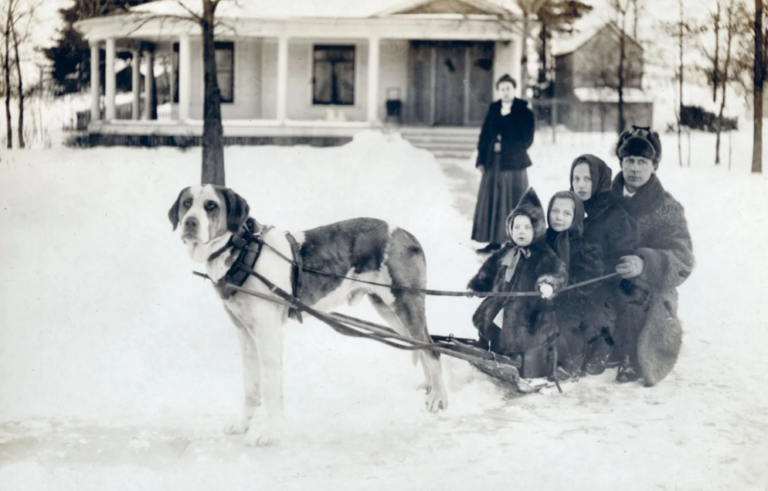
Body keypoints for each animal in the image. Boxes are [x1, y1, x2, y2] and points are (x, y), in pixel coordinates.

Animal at [165, 184, 448, 446]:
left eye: (211, 206)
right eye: (187, 203)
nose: (190, 222)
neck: (244, 251)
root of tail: (406, 233)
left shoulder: (268, 334)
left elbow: (270, 388)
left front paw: (269, 432)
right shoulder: (245, 334)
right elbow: (251, 387)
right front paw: (243, 424)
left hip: (404, 303)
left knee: (431, 349)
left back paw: (439, 397)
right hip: (389, 310)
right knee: (420, 345)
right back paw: (429, 388)